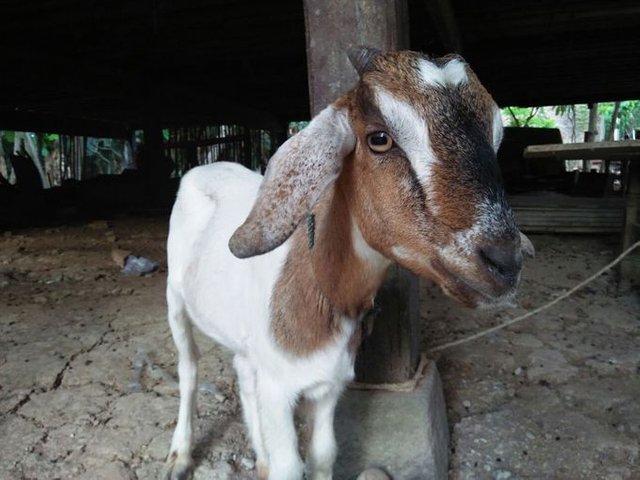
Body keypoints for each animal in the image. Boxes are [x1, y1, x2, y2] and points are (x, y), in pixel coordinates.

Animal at [164, 47, 528, 480]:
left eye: (496, 139)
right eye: (379, 139)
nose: (506, 260)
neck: (319, 284)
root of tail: (206, 166)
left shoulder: (328, 385)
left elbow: (324, 454)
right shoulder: (278, 390)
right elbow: (290, 466)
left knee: (242, 371)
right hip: (174, 299)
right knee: (188, 371)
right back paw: (179, 456)